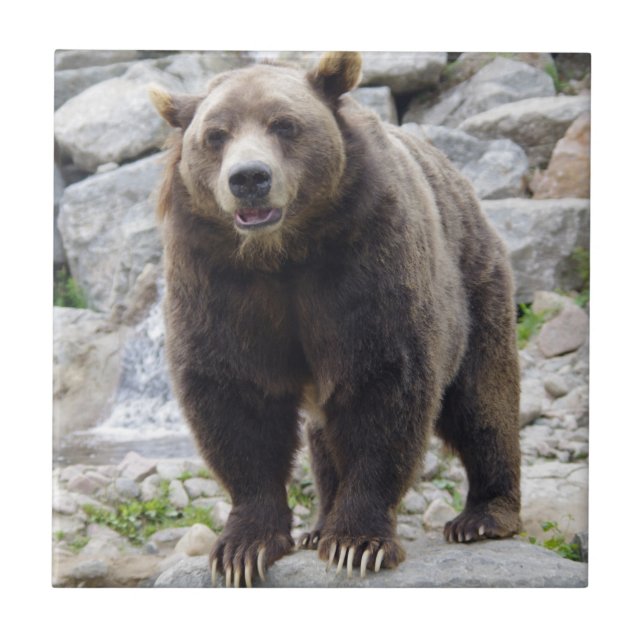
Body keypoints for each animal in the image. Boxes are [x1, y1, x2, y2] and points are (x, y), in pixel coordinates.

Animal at [150, 51, 522, 588]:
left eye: (284, 124)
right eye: (216, 135)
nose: (249, 178)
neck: (282, 254)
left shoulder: (365, 259)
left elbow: (381, 385)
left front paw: (356, 542)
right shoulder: (217, 277)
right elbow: (236, 397)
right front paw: (243, 548)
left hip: (474, 284)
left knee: (482, 400)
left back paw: (483, 516)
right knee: (324, 435)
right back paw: (317, 525)